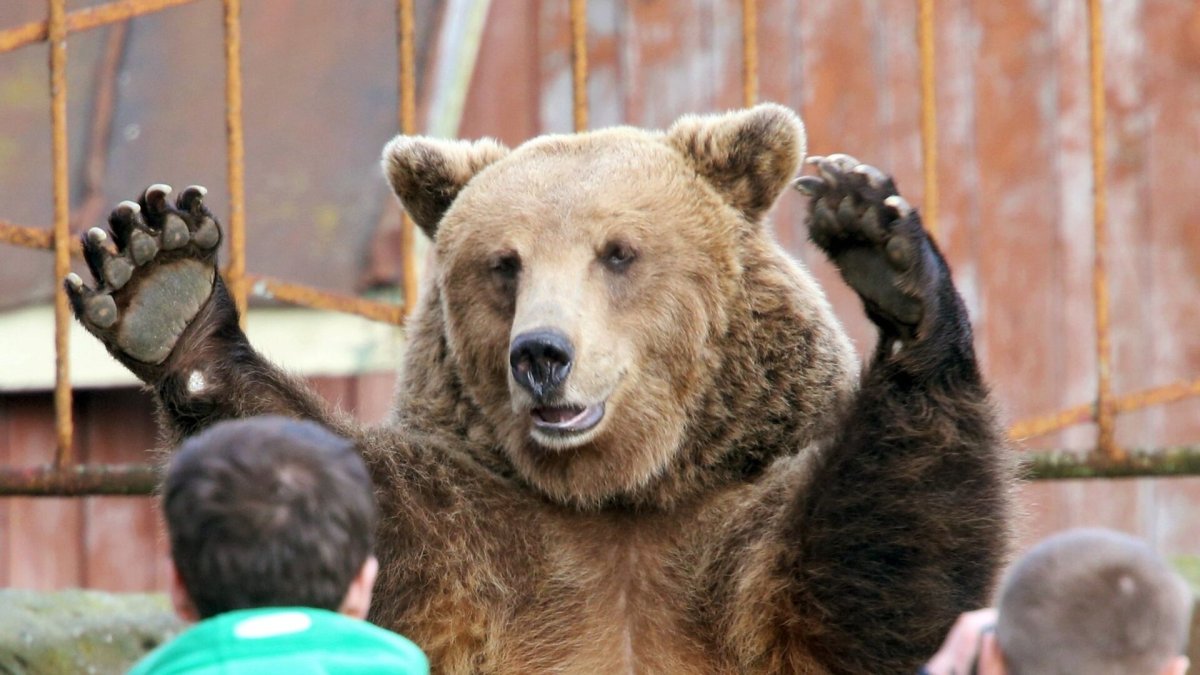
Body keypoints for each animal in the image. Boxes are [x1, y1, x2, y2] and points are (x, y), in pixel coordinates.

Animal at [65, 103, 1011, 674]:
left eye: (617, 252)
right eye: (504, 262)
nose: (541, 354)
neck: (619, 493)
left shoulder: (731, 532)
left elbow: (877, 570)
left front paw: (888, 259)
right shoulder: (479, 539)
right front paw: (161, 279)